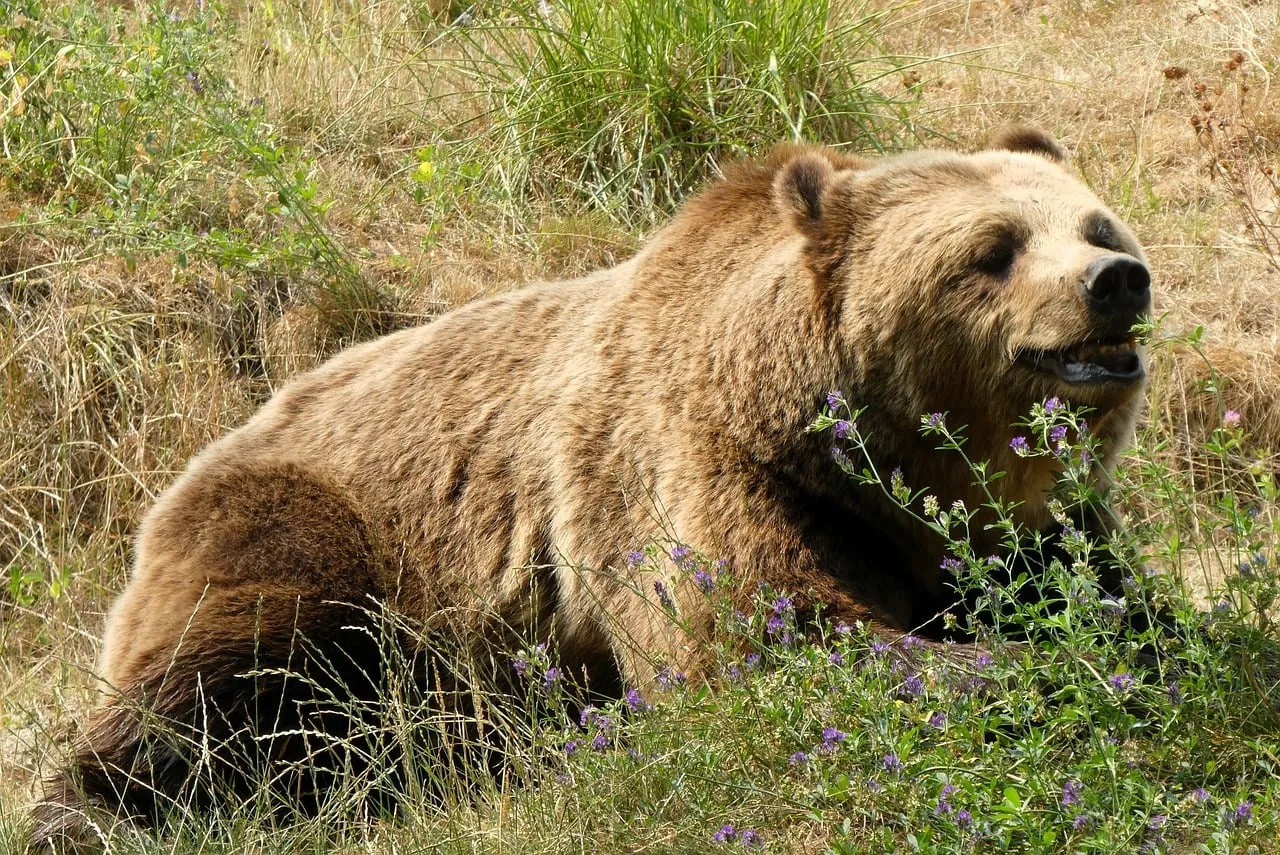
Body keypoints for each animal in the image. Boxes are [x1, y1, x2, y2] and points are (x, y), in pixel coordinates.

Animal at [31, 126, 1151, 848]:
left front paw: (1123, 648)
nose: (1116, 283)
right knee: (214, 677)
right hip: (313, 528)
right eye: (992, 249)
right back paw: (90, 810)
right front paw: (1030, 671)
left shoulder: (1035, 527)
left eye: (1097, 227)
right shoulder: (693, 471)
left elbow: (1107, 595)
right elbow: (758, 642)